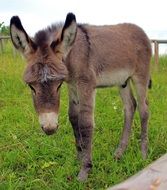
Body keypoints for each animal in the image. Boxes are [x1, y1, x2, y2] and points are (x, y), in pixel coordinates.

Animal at [10, 12, 151, 181]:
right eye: (31, 86)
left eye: (58, 85)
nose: (50, 128)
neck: (71, 53)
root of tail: (141, 31)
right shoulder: (72, 85)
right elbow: (73, 117)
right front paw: (79, 157)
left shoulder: (86, 84)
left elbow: (85, 123)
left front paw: (85, 170)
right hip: (123, 81)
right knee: (130, 107)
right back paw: (119, 152)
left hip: (140, 76)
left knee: (144, 110)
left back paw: (143, 153)